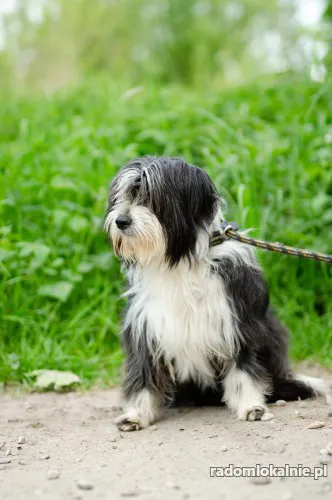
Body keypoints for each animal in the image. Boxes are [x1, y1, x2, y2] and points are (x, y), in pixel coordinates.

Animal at [104, 156, 332, 430]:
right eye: (122, 195)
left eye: (150, 197)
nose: (121, 221)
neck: (181, 262)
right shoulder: (146, 325)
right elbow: (143, 372)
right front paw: (136, 413)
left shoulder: (237, 321)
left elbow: (244, 367)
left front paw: (251, 406)